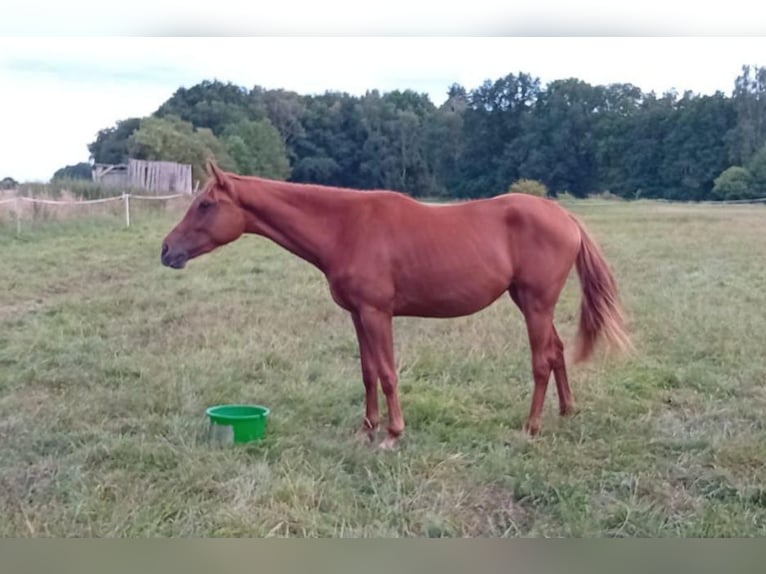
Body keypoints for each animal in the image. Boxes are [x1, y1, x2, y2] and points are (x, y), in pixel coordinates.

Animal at [161, 161, 630, 449]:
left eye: (205, 204)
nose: (167, 251)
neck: (345, 227)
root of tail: (565, 217)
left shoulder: (376, 313)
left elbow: (387, 373)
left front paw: (392, 434)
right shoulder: (357, 315)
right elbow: (368, 372)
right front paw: (365, 429)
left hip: (535, 305)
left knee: (541, 360)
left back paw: (531, 427)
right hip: (532, 303)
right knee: (557, 352)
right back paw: (567, 411)